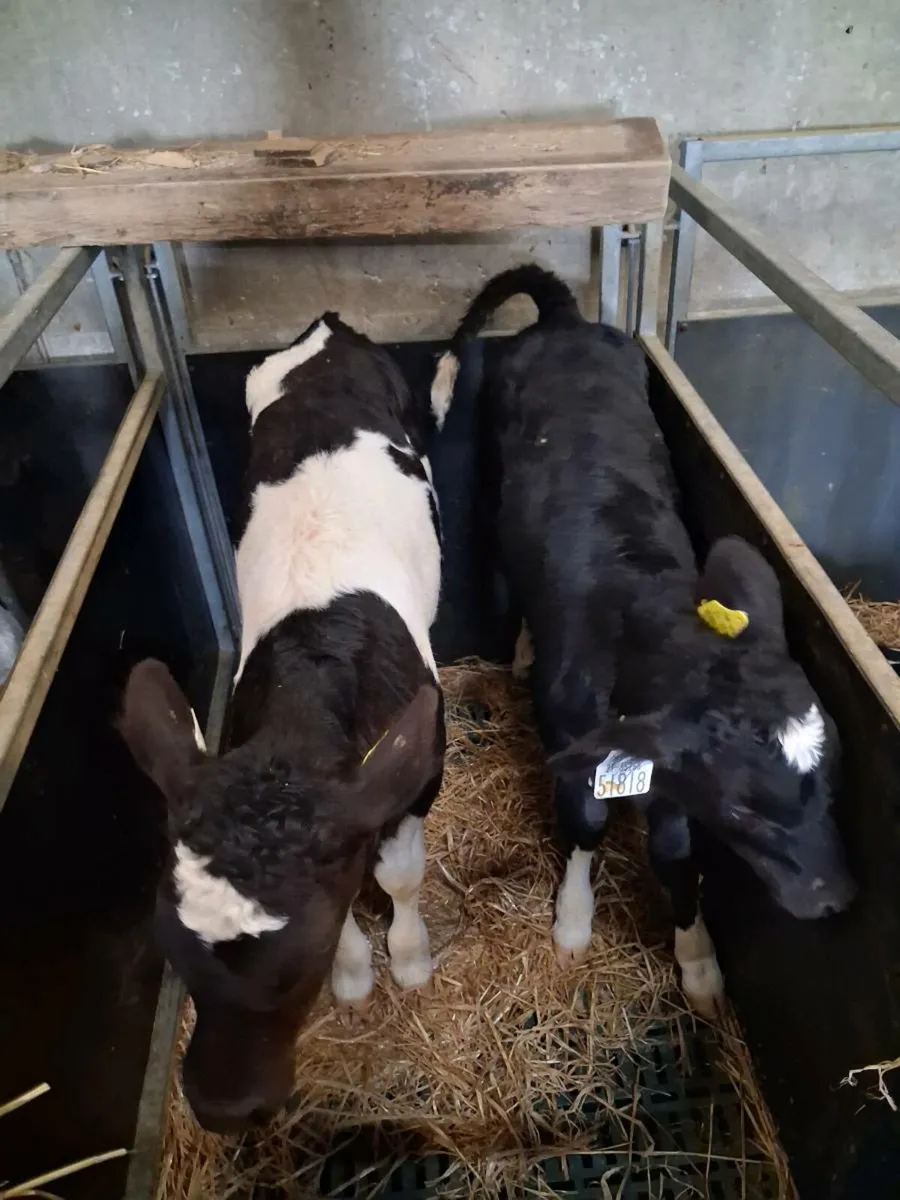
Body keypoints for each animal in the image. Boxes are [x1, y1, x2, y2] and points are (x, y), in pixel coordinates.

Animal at [119, 312, 445, 1133]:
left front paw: (410, 958)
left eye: (297, 968)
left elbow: (398, 875)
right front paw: (358, 976)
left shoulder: (418, 770)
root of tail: (327, 327)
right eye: (172, 949)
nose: (223, 1107)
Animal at [431, 264, 855, 1017]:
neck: (642, 615)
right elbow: (586, 826)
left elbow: (677, 855)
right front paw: (572, 924)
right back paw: (522, 650)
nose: (834, 898)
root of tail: (567, 321)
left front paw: (700, 964)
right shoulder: (574, 742)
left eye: (832, 780)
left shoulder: (674, 777)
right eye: (745, 807)